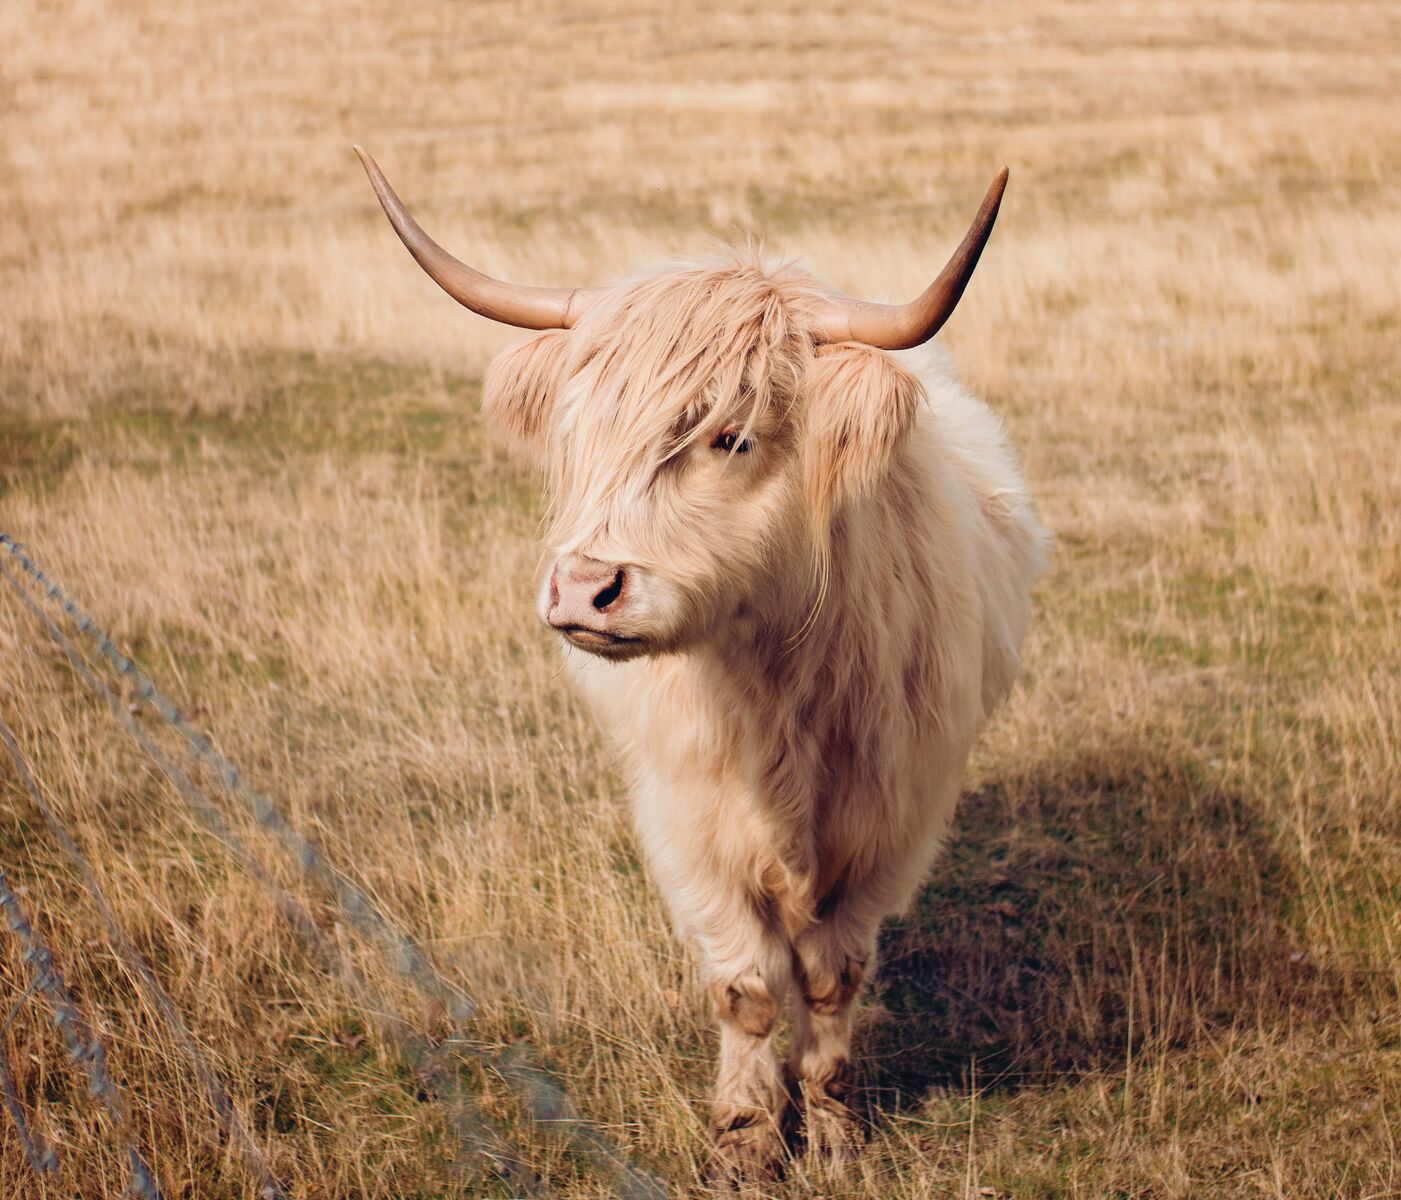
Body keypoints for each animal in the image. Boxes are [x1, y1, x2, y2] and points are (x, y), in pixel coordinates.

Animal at [356, 147, 1048, 1184]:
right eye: (580, 438)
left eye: (730, 436)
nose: (583, 590)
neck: (775, 688)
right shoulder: (688, 820)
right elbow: (747, 987)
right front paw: (746, 1142)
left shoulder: (892, 819)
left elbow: (833, 974)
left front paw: (833, 1130)